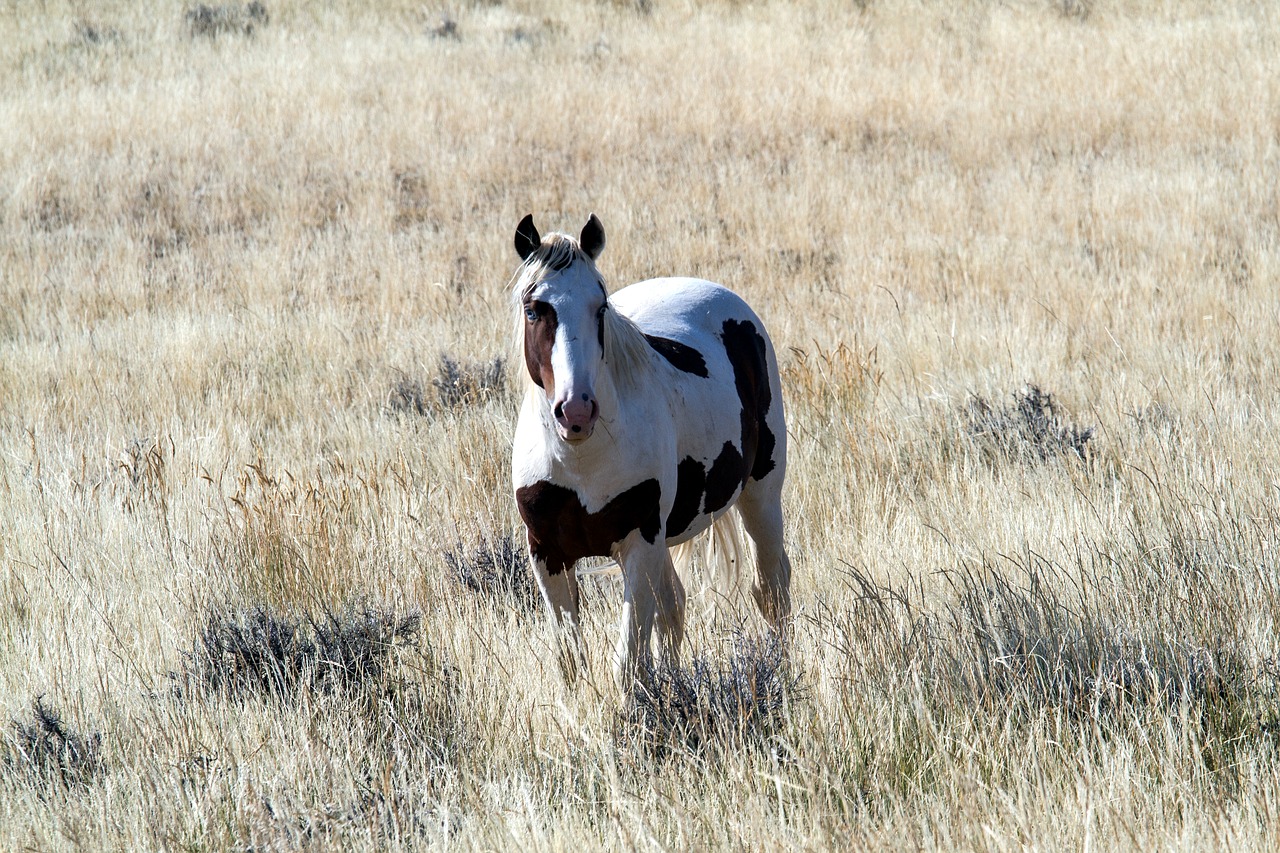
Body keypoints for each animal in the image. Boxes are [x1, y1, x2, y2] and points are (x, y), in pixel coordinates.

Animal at [506, 213, 788, 691]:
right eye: (533, 309)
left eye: (600, 307)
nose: (576, 410)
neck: (582, 461)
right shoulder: (547, 552)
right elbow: (572, 663)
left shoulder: (640, 541)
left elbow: (627, 664)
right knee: (674, 606)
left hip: (760, 494)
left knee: (771, 588)